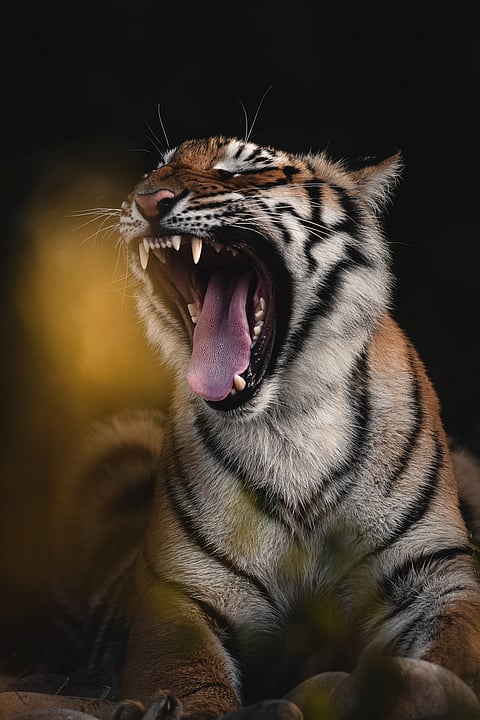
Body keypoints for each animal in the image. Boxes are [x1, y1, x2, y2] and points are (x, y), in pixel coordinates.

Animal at [3, 135, 480, 720]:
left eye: (243, 169)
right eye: (157, 169)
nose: (148, 199)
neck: (290, 422)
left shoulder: (435, 575)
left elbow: (450, 655)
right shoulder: (180, 596)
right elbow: (190, 679)